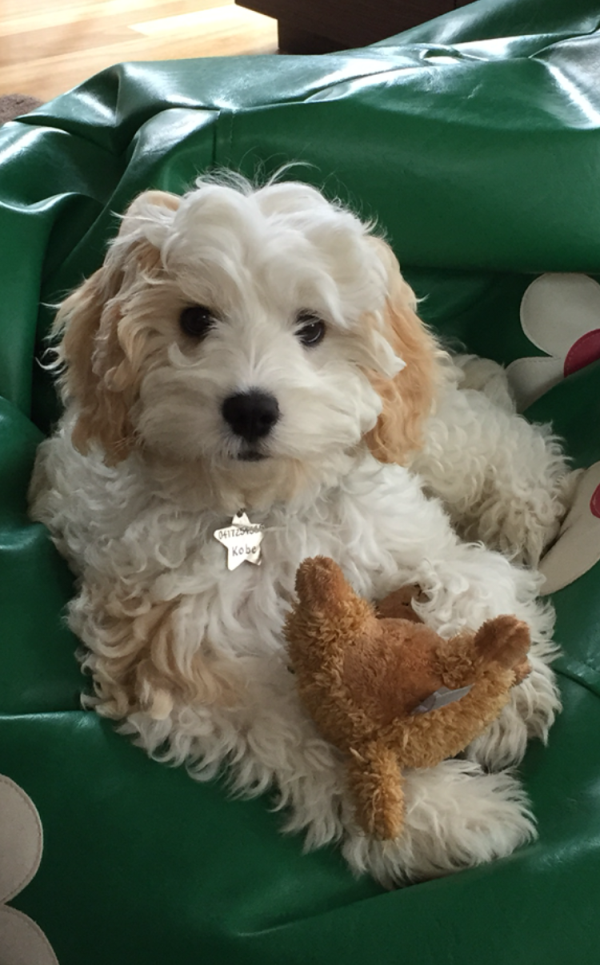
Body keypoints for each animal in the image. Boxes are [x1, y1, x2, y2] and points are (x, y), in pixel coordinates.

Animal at [29, 177, 568, 884]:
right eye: (194, 321)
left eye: (311, 327)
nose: (251, 408)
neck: (267, 507)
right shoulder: (184, 663)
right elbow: (305, 734)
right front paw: (449, 816)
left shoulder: (401, 524)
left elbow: (467, 572)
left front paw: (506, 688)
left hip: (422, 437)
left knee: (489, 434)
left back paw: (524, 499)